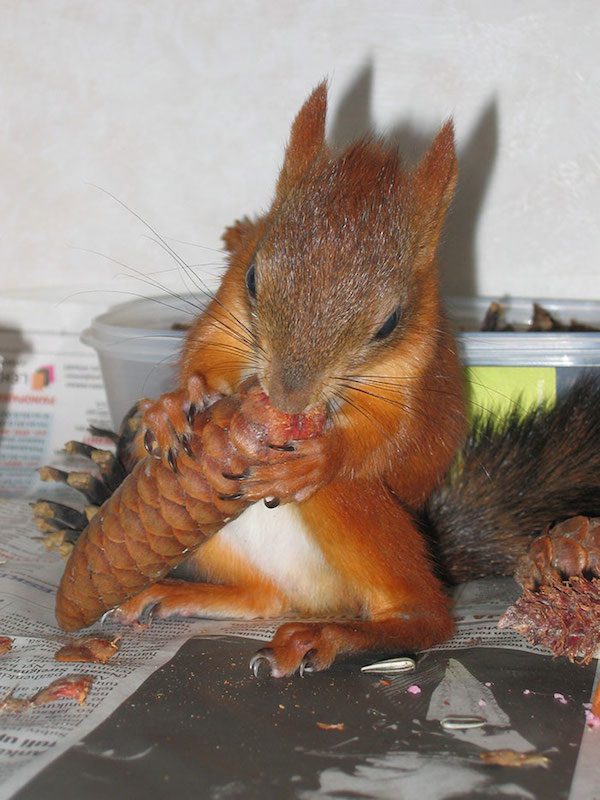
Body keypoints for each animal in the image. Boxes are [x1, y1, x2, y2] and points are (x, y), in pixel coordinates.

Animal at [92, 83, 600, 677]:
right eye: (253, 277)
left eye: (390, 322)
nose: (288, 396)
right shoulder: (226, 312)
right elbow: (204, 354)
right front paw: (175, 404)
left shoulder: (416, 375)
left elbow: (392, 438)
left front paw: (321, 458)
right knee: (264, 598)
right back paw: (173, 590)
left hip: (358, 513)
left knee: (427, 614)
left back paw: (332, 635)